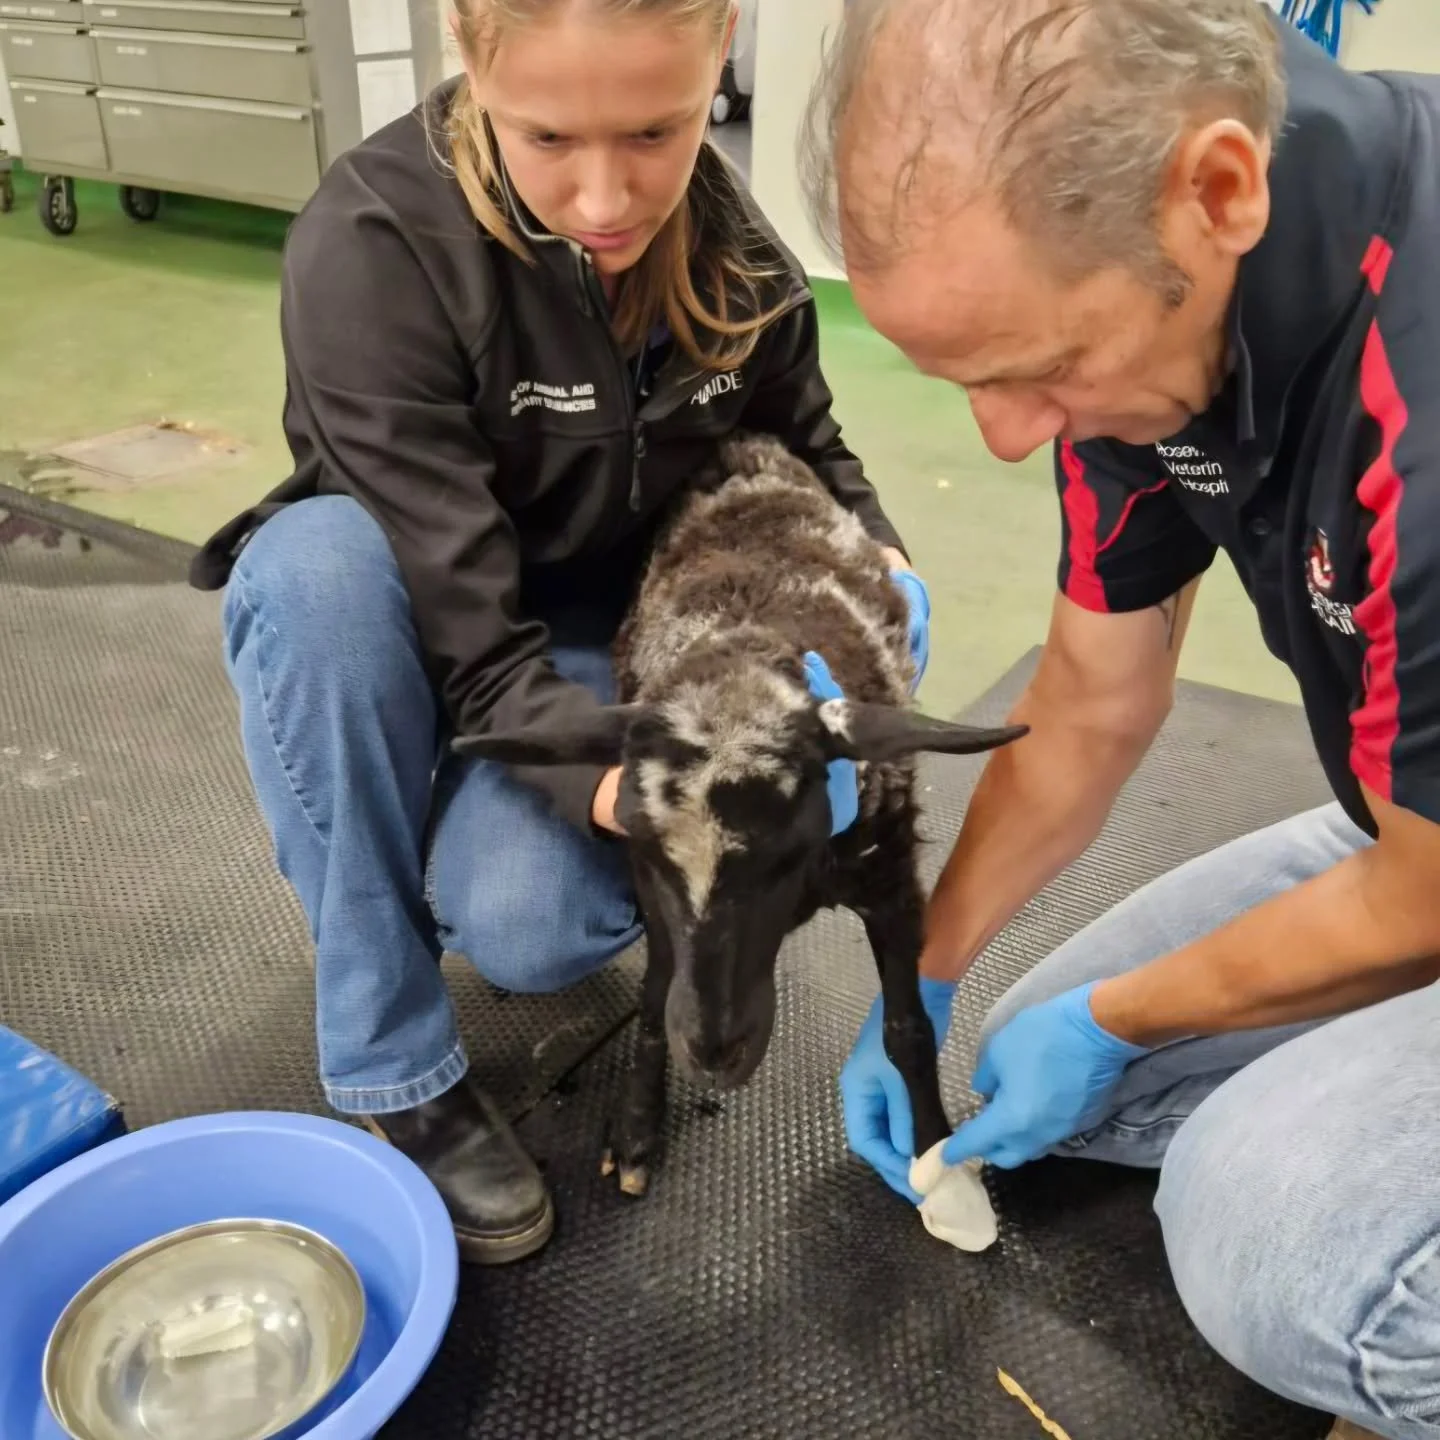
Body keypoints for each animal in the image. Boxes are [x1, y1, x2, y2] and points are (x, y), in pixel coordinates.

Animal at [454, 434, 1027, 1196]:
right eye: (648, 852)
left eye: (790, 853)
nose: (716, 1053)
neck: (743, 651)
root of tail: (748, 443)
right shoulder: (652, 893)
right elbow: (656, 992)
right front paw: (636, 1131)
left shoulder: (893, 879)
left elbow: (909, 1029)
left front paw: (934, 1155)